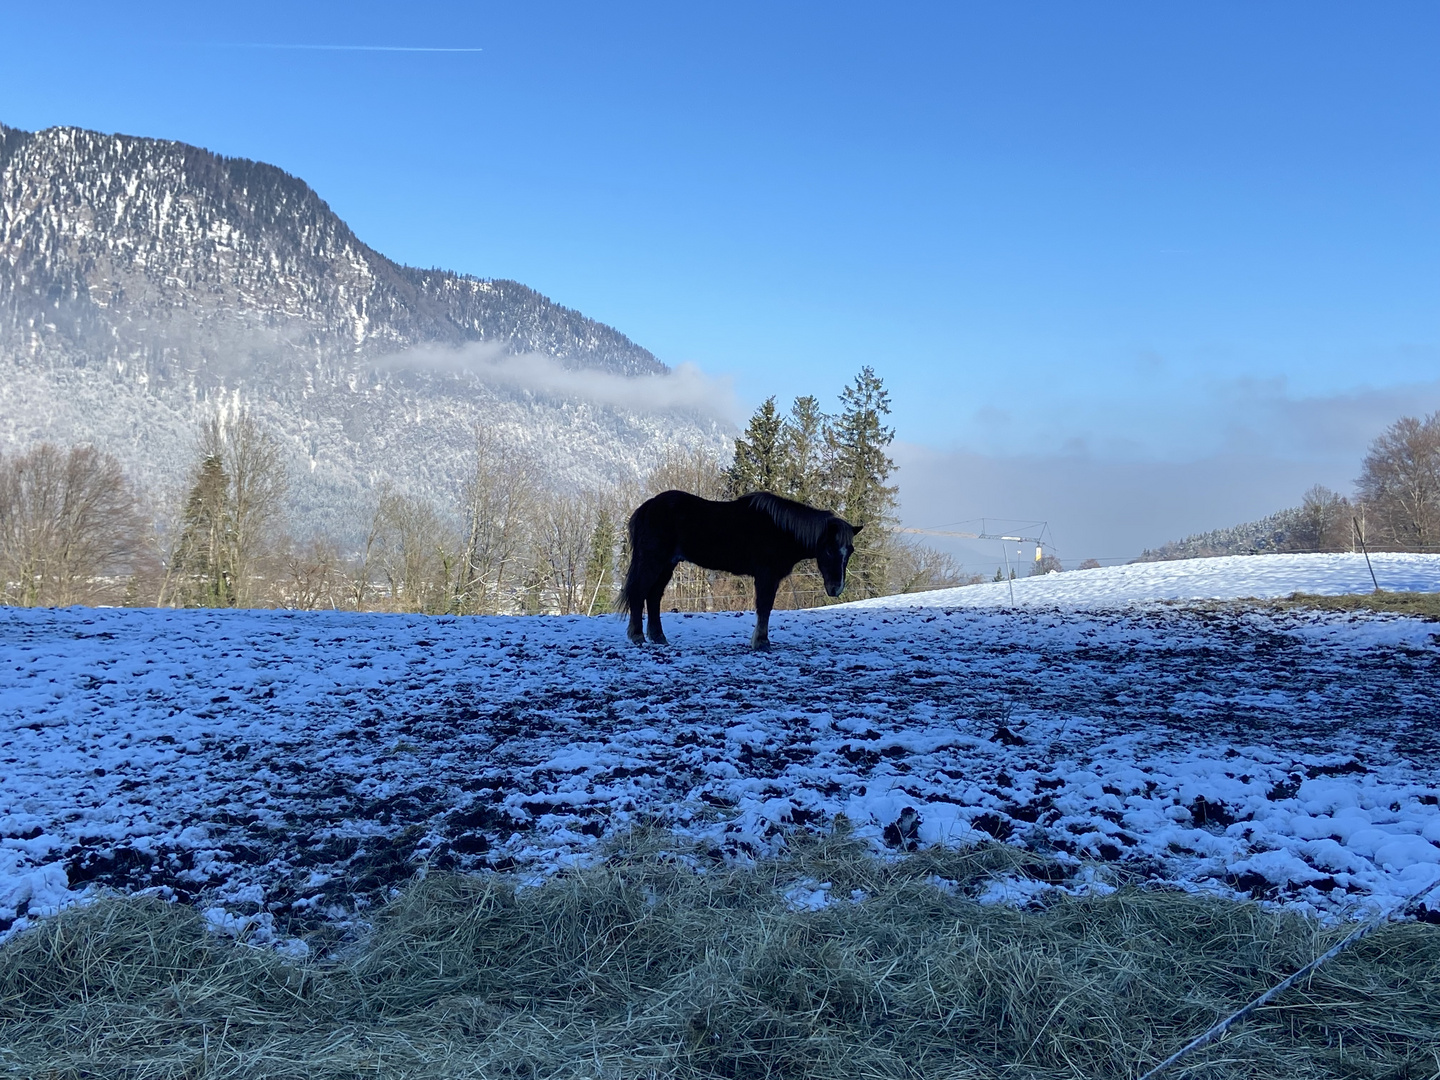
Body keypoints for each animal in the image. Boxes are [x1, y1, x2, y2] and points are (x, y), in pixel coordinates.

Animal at [616, 489, 852, 650]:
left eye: (849, 551)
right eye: (828, 550)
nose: (836, 588)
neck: (780, 529)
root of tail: (648, 506)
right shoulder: (767, 576)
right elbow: (764, 607)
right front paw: (761, 642)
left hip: (667, 565)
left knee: (653, 597)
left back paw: (659, 638)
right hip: (653, 561)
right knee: (638, 593)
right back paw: (638, 636)